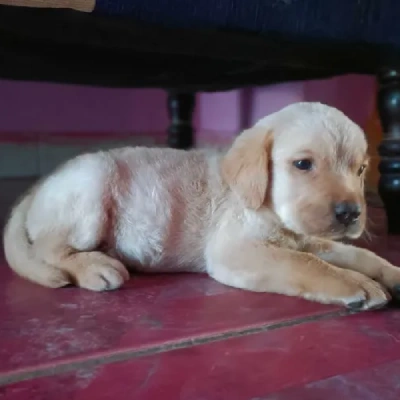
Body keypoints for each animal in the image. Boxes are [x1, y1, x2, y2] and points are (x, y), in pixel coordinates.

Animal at [3, 102, 400, 310]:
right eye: (303, 164)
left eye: (360, 170)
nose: (351, 213)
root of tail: (39, 186)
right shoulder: (234, 250)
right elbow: (304, 263)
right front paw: (355, 284)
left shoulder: (311, 239)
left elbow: (359, 255)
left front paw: (389, 272)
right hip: (92, 182)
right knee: (48, 247)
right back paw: (94, 267)